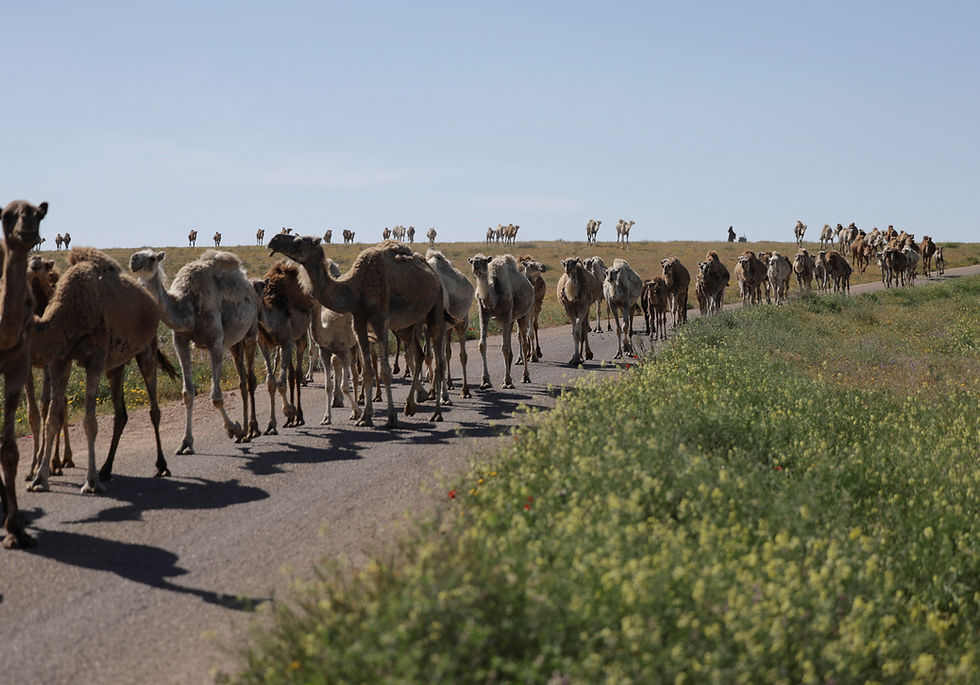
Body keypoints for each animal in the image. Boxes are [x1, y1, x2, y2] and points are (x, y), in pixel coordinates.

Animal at [27, 248, 176, 496]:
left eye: (38, 264)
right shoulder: (60, 360)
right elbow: (51, 417)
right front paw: (39, 478)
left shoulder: (94, 360)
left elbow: (89, 422)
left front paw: (90, 482)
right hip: (116, 365)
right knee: (121, 413)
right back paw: (106, 469)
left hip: (146, 351)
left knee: (154, 409)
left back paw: (162, 465)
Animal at [129, 249, 261, 454]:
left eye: (151, 257)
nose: (133, 260)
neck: (188, 306)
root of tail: (249, 282)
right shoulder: (180, 340)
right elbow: (188, 393)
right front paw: (186, 443)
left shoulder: (216, 341)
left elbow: (216, 396)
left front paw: (233, 428)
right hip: (235, 342)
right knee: (242, 379)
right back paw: (246, 432)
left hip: (251, 332)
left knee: (251, 379)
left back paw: (254, 429)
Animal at [269, 234, 447, 427]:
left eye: (299, 241)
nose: (274, 240)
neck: (355, 287)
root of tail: (434, 276)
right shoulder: (359, 322)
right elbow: (367, 371)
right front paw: (365, 417)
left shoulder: (379, 321)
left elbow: (385, 371)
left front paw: (391, 417)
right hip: (407, 325)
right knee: (419, 353)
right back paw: (411, 405)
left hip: (436, 307)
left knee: (439, 360)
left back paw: (437, 412)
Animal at [426, 250, 474, 399]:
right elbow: (430, 357)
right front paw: (432, 391)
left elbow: (440, 361)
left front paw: (444, 396)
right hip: (447, 329)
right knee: (445, 354)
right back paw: (448, 384)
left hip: (462, 322)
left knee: (462, 355)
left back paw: (465, 390)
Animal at [469, 254, 533, 389]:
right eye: (471, 261)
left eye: (484, 261)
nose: (476, 265)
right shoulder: (483, 312)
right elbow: (482, 345)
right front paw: (485, 381)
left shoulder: (506, 312)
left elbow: (505, 347)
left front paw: (507, 381)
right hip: (511, 320)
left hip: (523, 314)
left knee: (524, 343)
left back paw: (525, 377)